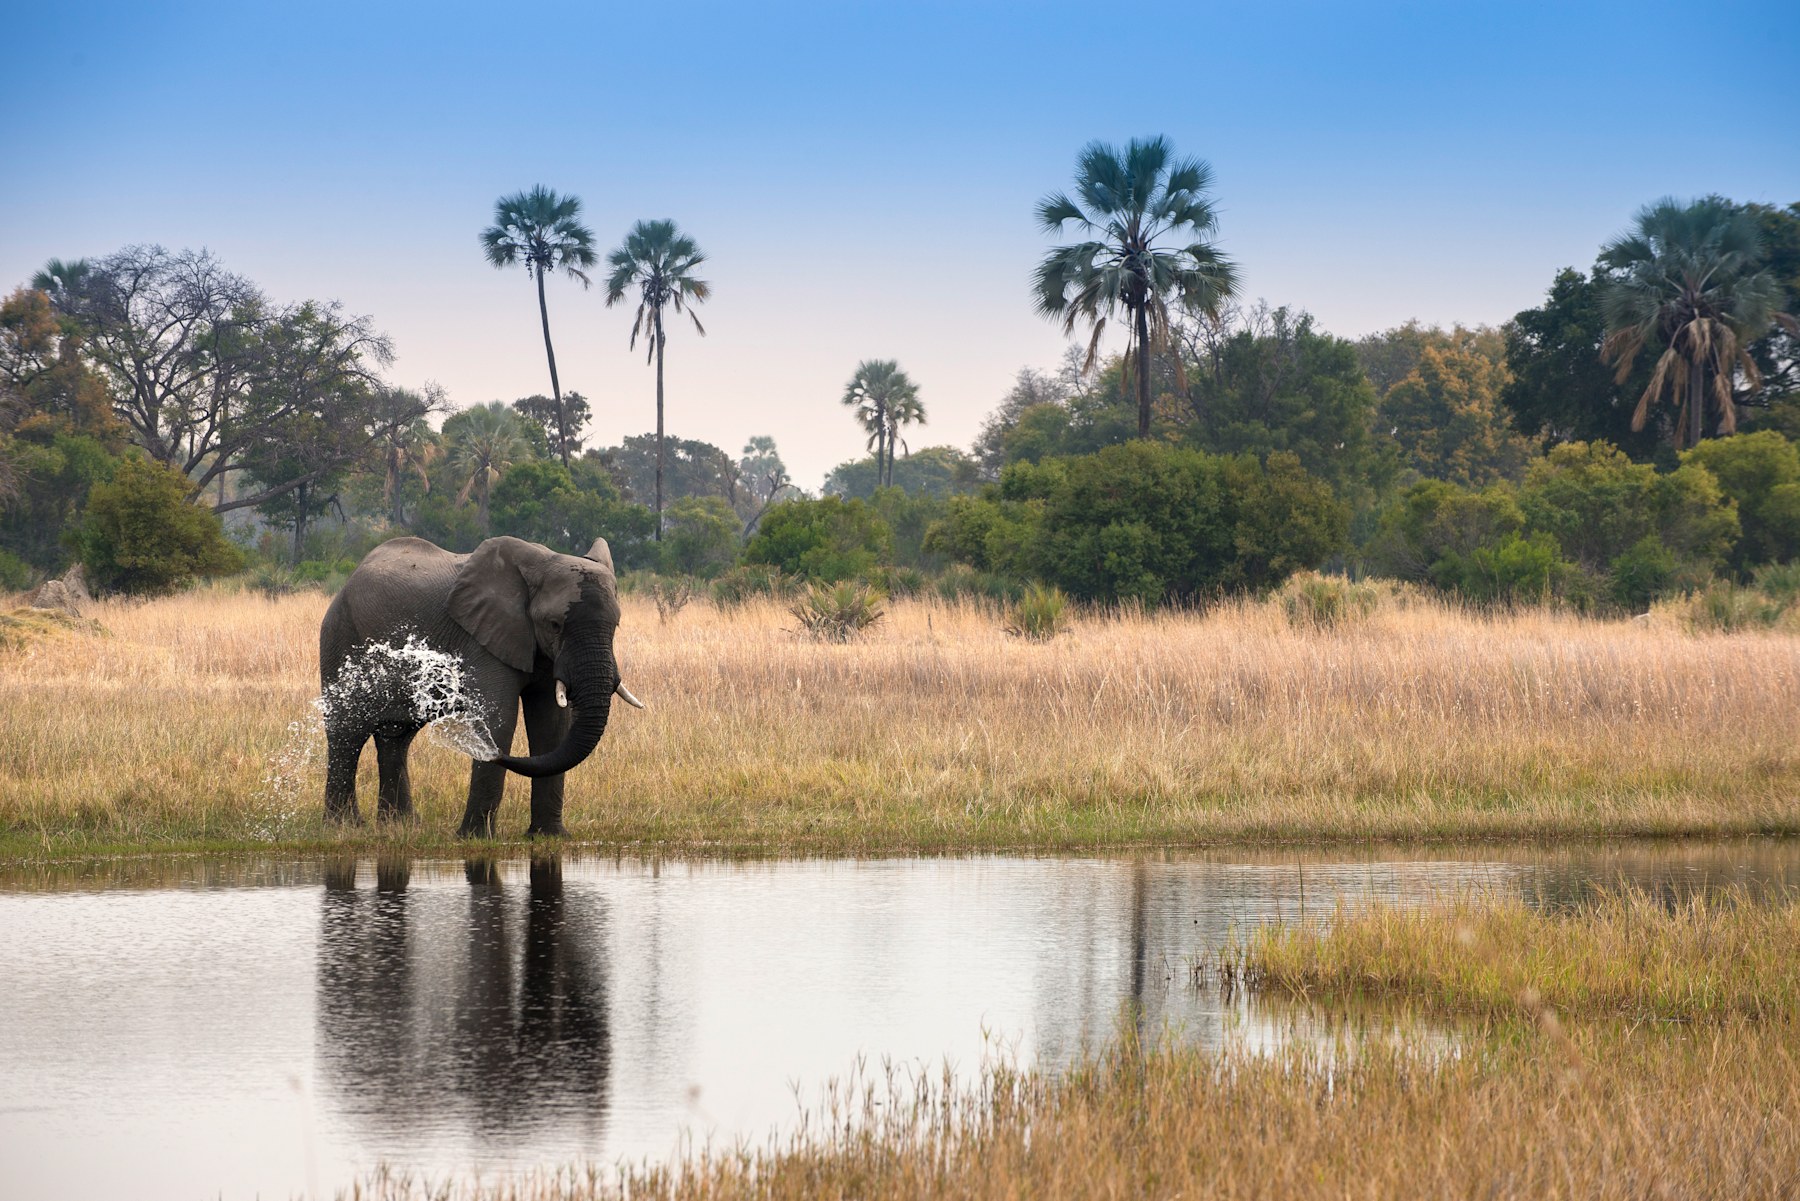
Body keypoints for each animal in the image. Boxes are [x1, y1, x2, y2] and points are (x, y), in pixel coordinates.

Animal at [318, 534, 642, 836]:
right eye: (554, 625)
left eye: (616, 625)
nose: (481, 748)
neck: (540, 564)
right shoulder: (483, 638)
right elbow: (500, 717)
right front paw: (474, 838)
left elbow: (552, 726)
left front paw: (550, 836)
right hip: (341, 634)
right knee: (348, 728)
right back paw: (344, 826)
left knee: (396, 735)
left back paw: (401, 825)